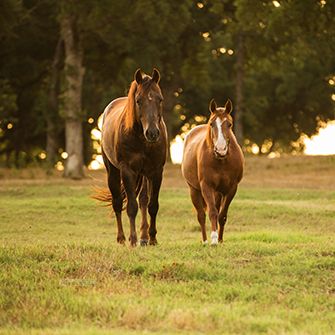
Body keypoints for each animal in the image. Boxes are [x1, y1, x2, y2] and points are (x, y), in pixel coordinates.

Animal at [96, 68, 168, 247]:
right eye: (138, 101)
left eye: (160, 99)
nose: (152, 133)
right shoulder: (127, 171)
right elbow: (131, 207)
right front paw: (133, 239)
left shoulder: (156, 172)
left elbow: (152, 205)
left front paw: (152, 238)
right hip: (113, 172)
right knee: (117, 202)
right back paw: (122, 238)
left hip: (144, 174)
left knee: (143, 200)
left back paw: (144, 237)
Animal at [184, 98, 244, 245]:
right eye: (211, 124)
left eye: (229, 124)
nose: (220, 149)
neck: (221, 161)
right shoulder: (206, 186)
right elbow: (212, 212)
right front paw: (214, 239)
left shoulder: (231, 189)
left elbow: (222, 215)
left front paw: (220, 239)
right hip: (194, 190)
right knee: (201, 215)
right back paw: (205, 241)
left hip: (218, 193)